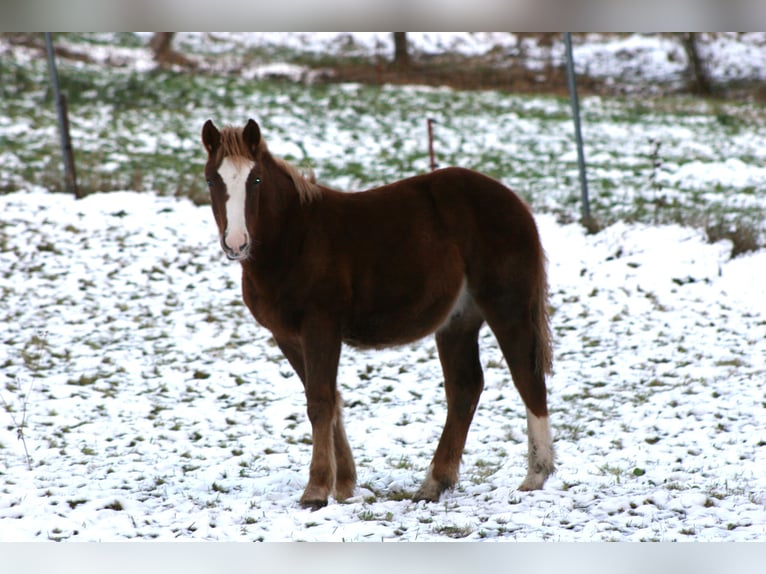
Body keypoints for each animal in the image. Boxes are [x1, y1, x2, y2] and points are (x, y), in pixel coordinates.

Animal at [201, 118, 554, 509]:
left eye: (256, 179)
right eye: (211, 180)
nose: (236, 243)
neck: (294, 238)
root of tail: (516, 203)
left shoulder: (320, 326)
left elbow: (320, 401)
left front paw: (317, 489)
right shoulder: (287, 335)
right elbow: (329, 398)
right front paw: (345, 485)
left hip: (507, 306)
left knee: (526, 377)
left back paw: (535, 475)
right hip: (458, 321)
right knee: (465, 387)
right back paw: (434, 484)